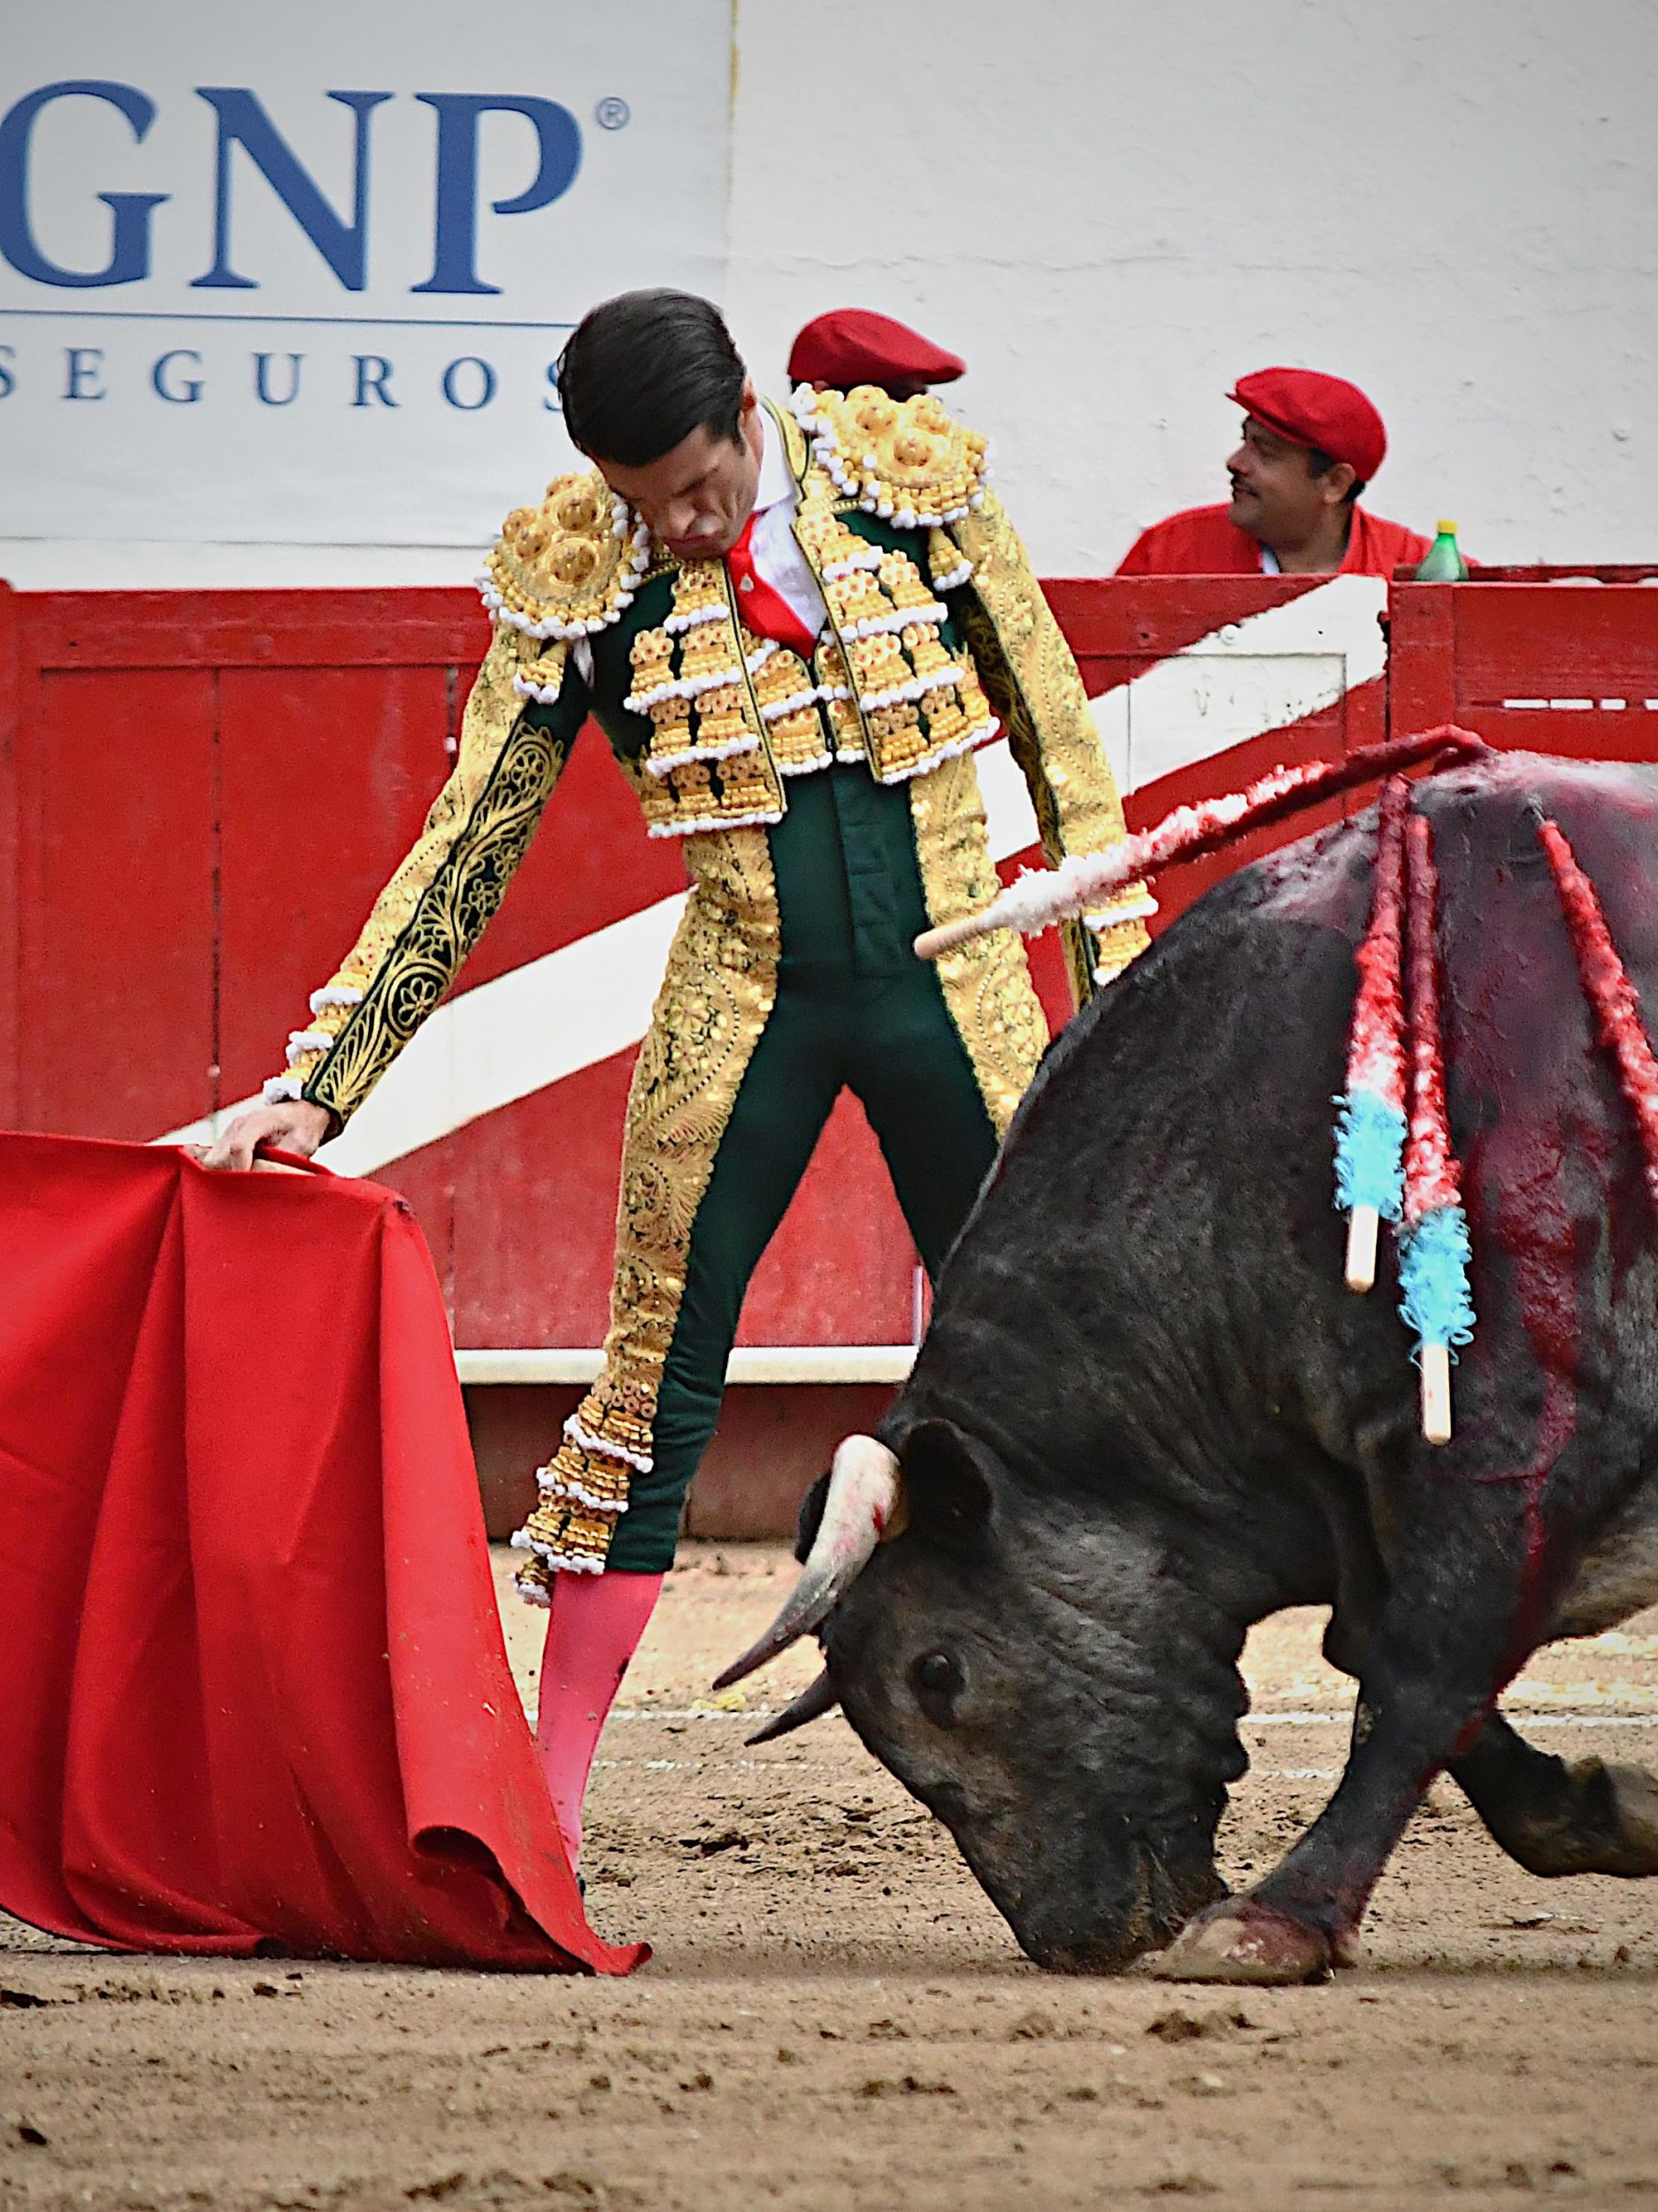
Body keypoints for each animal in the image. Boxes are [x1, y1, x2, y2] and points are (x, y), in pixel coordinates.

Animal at [717, 748, 1658, 1984]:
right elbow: (1384, 1660)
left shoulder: (1517, 1445)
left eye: (937, 1673)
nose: (1077, 1935)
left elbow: (1418, 1676)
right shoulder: (1360, 1488)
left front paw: (1270, 1922)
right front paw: (1616, 1810)